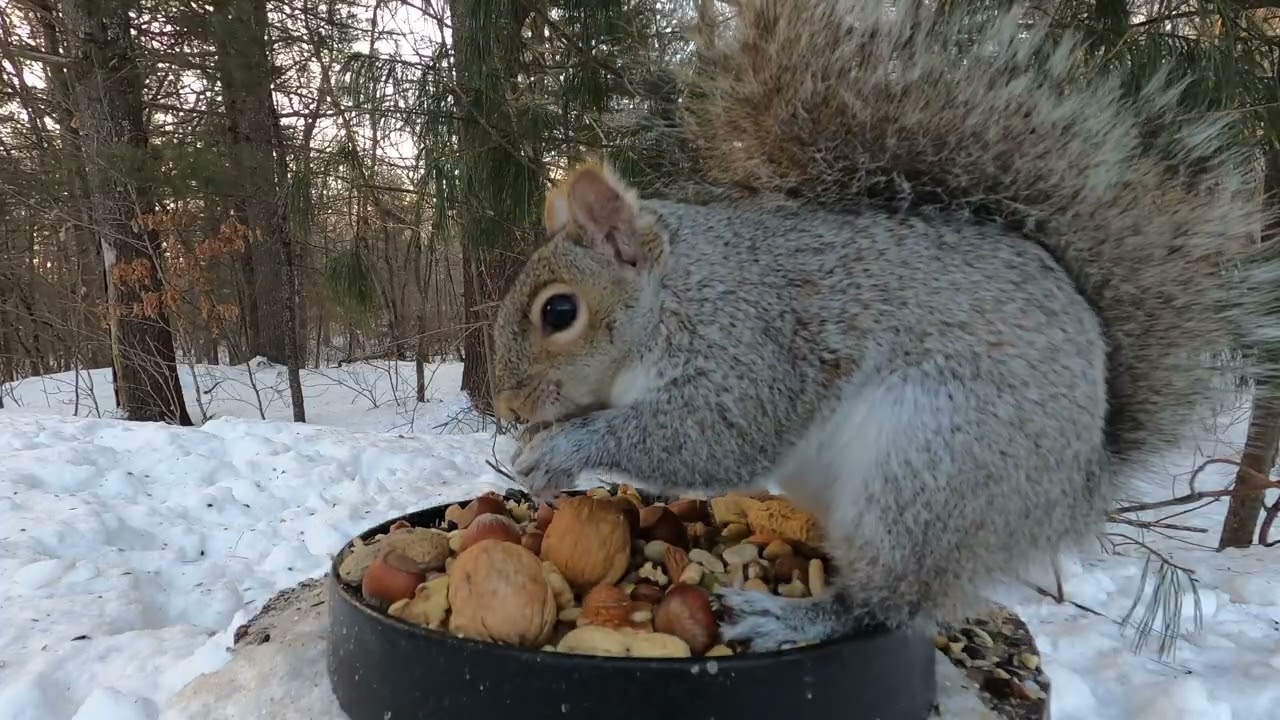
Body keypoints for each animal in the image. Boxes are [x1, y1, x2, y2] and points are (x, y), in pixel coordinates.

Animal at [488, 0, 1278, 650]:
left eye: (559, 312)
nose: (507, 407)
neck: (675, 295)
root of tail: (1077, 485)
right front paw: (535, 453)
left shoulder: (751, 342)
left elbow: (718, 435)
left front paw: (562, 449)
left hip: (929, 466)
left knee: (887, 603)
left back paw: (789, 619)